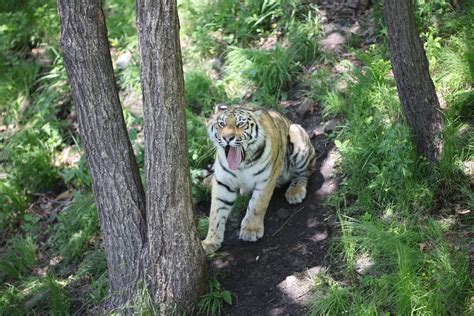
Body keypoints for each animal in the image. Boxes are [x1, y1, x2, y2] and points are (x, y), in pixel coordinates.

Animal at [201, 103, 316, 254]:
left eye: (240, 124)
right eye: (221, 124)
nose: (227, 138)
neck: (241, 164)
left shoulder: (266, 179)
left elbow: (257, 205)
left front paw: (251, 230)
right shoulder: (223, 183)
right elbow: (216, 213)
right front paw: (210, 241)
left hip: (296, 133)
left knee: (305, 173)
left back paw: (295, 192)